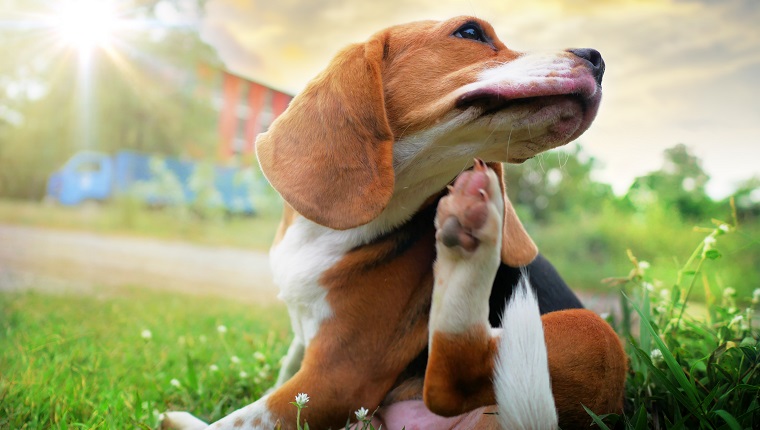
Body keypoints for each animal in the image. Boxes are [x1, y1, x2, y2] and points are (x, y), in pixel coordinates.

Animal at [163, 15, 628, 428]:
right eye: (471, 32)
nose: (598, 59)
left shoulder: (337, 378)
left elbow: (240, 420)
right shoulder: (303, 347)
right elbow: (282, 372)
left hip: (594, 332)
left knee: (451, 382)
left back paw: (473, 245)